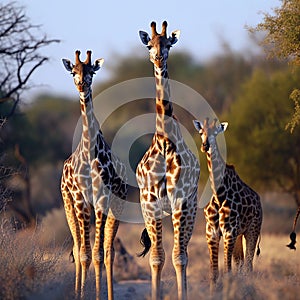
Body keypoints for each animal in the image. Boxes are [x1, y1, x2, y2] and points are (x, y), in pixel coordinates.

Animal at [60, 50, 127, 298]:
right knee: (77, 247)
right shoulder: (80, 199)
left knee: (108, 251)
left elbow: (98, 254)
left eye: (91, 71)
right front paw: (81, 294)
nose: (82, 84)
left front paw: (98, 295)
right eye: (73, 71)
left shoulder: (102, 198)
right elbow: (85, 254)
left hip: (116, 205)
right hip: (68, 204)